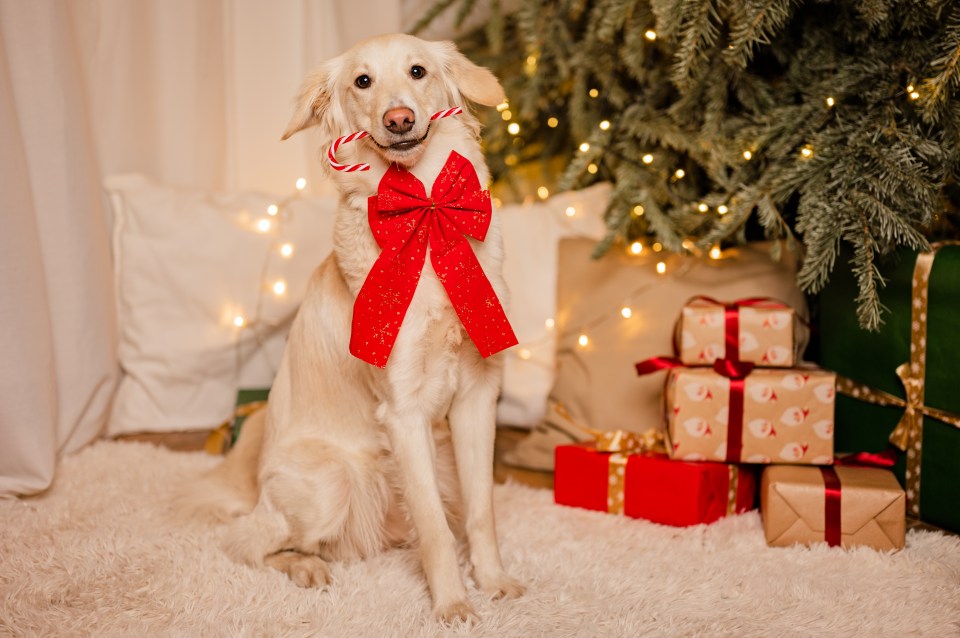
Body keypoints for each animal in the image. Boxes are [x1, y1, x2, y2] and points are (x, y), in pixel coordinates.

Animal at [180, 35, 524, 624]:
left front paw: (493, 580)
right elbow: (435, 529)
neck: (425, 213)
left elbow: (483, 512)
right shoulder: (404, 411)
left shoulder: (477, 396)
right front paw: (453, 604)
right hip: (332, 482)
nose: (399, 118)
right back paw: (306, 568)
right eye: (362, 82)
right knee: (250, 542)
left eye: (418, 71)